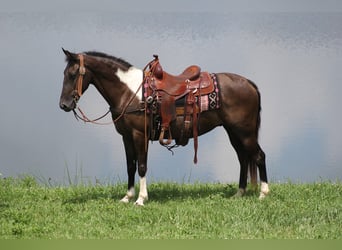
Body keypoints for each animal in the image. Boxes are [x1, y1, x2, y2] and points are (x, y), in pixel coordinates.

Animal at [59, 48, 270, 205]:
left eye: (72, 74)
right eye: (65, 73)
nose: (64, 105)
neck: (129, 92)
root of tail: (249, 84)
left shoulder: (139, 135)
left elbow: (141, 166)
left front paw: (141, 199)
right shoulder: (126, 136)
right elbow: (130, 166)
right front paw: (127, 197)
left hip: (245, 132)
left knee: (259, 156)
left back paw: (263, 193)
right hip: (233, 132)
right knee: (243, 158)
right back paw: (239, 193)